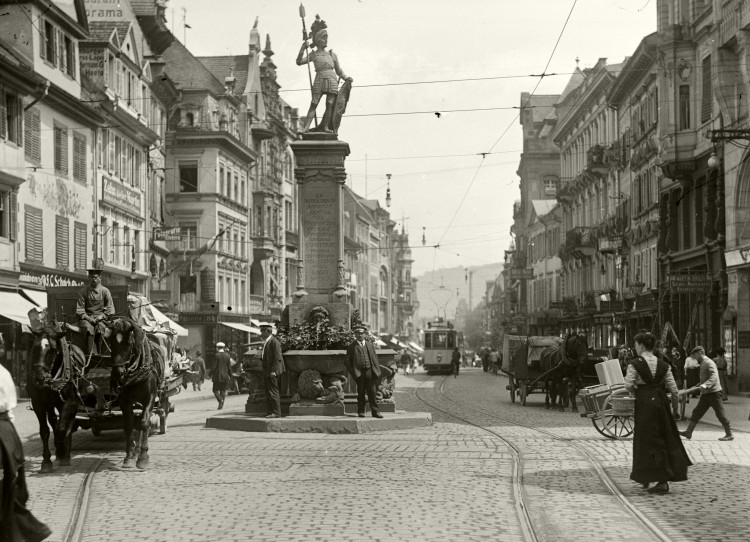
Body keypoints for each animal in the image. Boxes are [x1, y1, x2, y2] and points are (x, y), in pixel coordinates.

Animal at [106, 318, 163, 472]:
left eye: (129, 343)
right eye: (111, 342)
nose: (118, 373)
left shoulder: (150, 398)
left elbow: (144, 423)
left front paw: (143, 457)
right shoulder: (124, 401)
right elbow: (129, 425)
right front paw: (129, 456)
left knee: (144, 421)